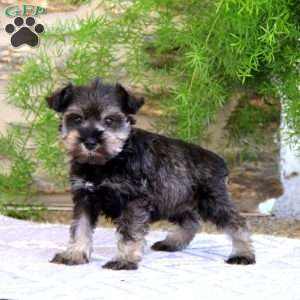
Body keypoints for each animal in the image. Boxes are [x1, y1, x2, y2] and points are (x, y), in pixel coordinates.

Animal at [47, 78, 255, 270]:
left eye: (109, 120)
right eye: (76, 118)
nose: (90, 142)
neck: (107, 162)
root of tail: (217, 159)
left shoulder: (133, 201)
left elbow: (129, 233)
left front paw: (124, 260)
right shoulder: (84, 197)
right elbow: (80, 228)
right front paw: (74, 254)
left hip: (213, 201)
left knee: (237, 224)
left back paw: (243, 254)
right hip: (177, 202)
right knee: (191, 222)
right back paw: (171, 243)